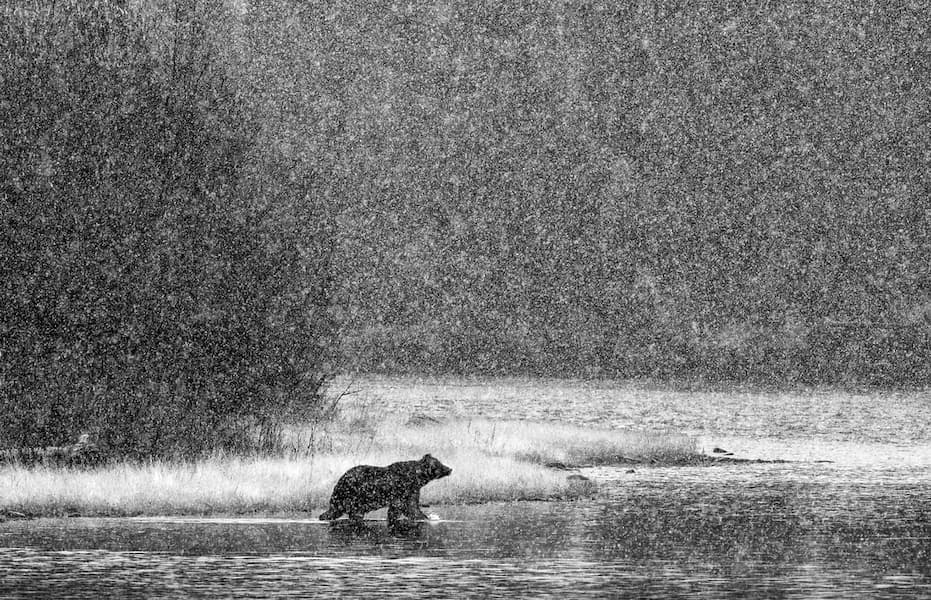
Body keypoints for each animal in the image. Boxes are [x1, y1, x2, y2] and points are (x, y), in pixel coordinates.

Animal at [319, 454, 452, 524]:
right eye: (439, 464)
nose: (450, 469)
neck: (417, 478)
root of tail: (340, 480)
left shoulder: (412, 490)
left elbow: (408, 506)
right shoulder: (403, 489)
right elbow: (408, 508)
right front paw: (428, 518)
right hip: (353, 495)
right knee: (352, 512)